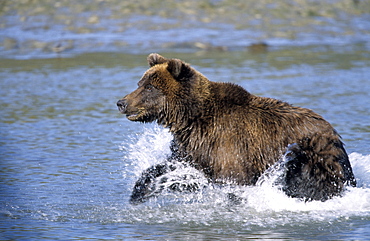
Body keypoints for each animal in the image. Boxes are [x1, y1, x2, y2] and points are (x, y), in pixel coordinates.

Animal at [117, 53, 356, 203]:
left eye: (150, 87)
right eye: (140, 83)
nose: (121, 102)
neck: (191, 118)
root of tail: (332, 129)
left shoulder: (228, 145)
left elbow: (232, 181)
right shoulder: (195, 146)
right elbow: (171, 168)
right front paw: (140, 192)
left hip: (313, 151)